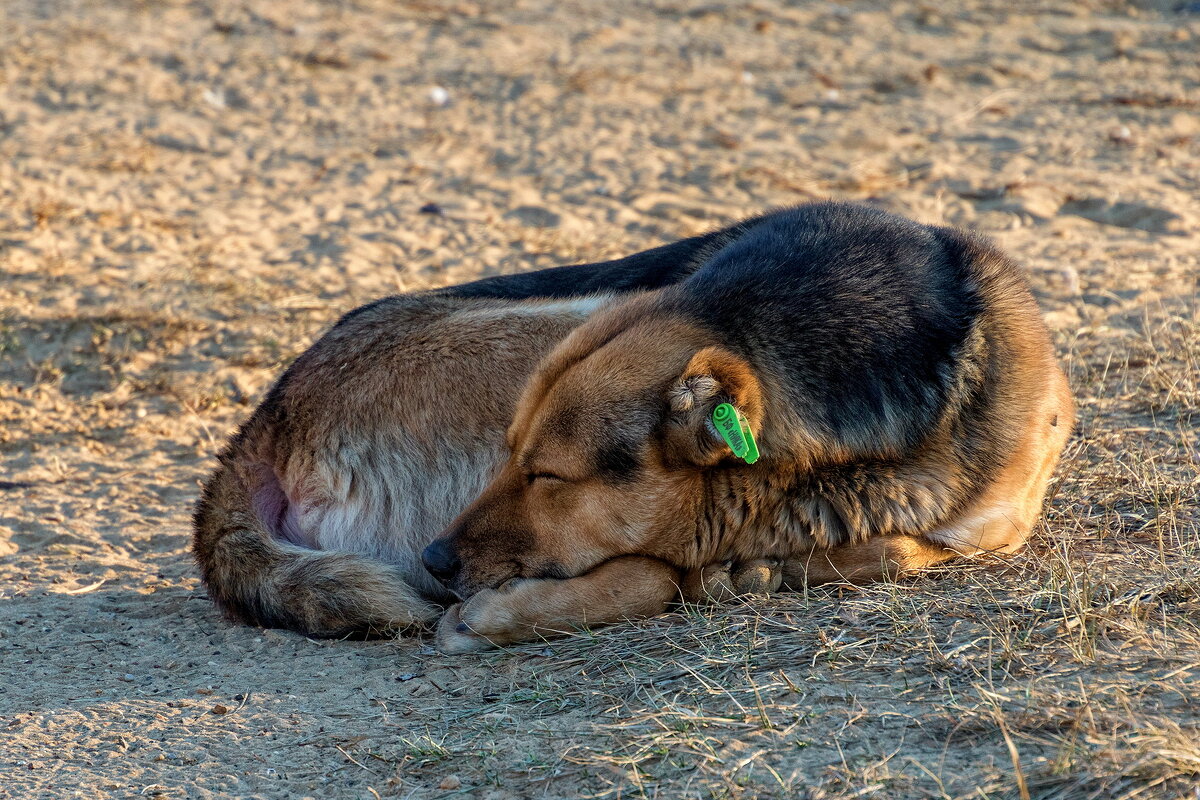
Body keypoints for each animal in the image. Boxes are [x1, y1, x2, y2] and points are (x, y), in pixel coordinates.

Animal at [192, 201, 1075, 652]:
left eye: (544, 473)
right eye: (513, 457)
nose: (436, 558)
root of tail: (264, 422)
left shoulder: (999, 514)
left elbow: (913, 546)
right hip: (564, 317)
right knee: (652, 576)